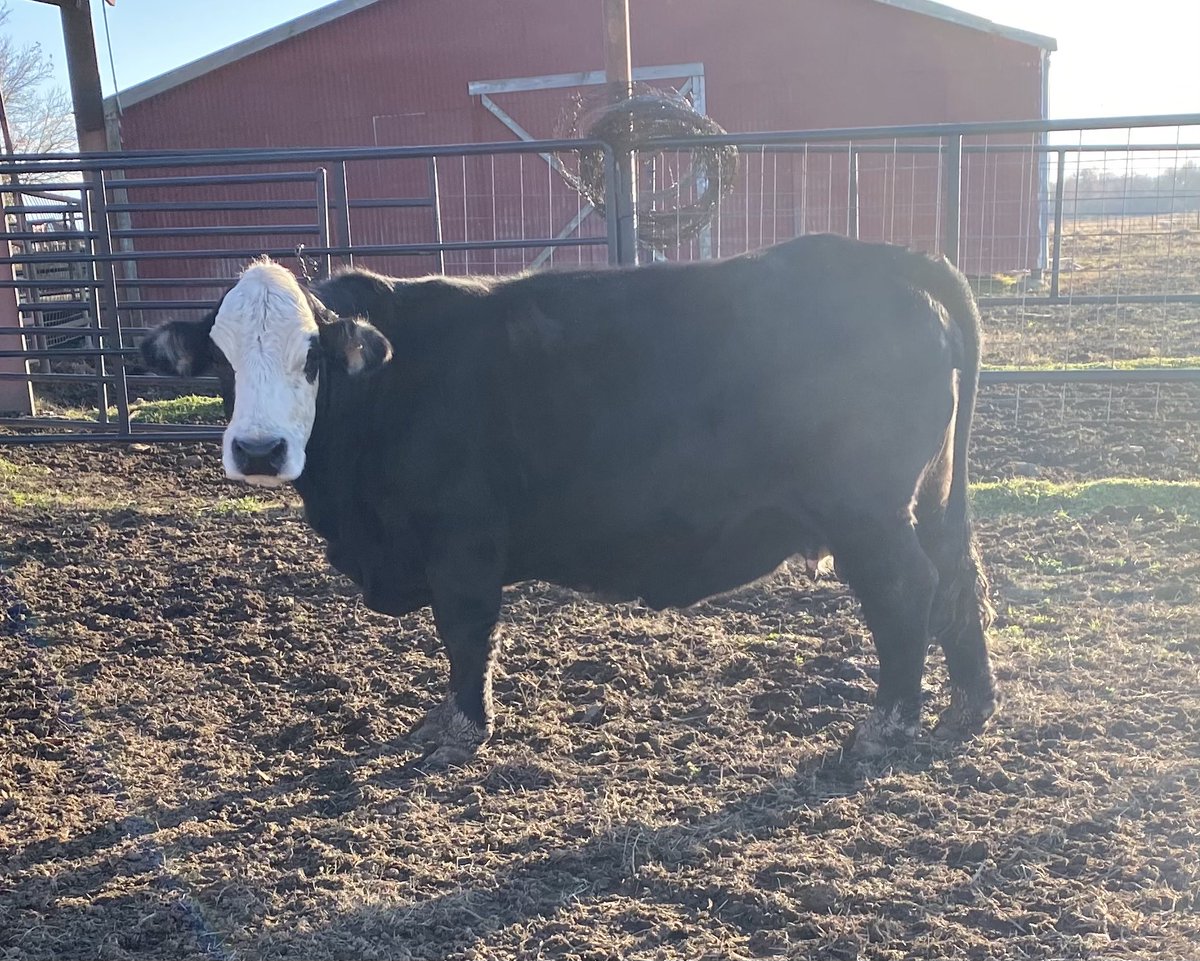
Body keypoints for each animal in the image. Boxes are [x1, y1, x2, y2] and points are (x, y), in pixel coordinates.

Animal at [141, 234, 997, 765]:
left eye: (312, 354)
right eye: (220, 359)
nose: (259, 450)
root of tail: (893, 260)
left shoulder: (462, 541)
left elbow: (466, 634)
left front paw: (461, 728)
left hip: (867, 513)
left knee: (906, 589)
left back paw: (887, 725)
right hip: (929, 499)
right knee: (959, 581)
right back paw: (970, 705)